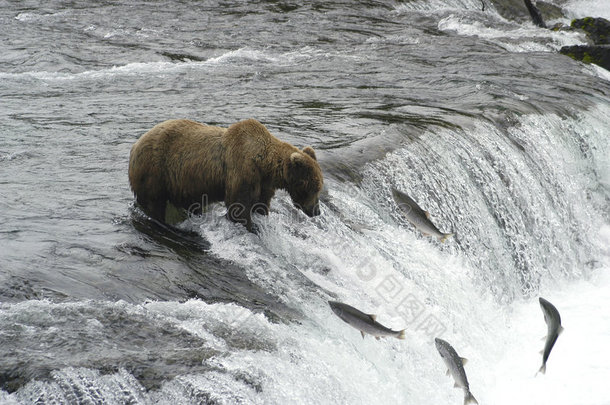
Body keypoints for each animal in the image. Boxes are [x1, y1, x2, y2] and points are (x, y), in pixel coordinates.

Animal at [126, 117, 320, 230]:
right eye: (315, 188)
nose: (316, 211)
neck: (264, 164)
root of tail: (135, 145)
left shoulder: (264, 182)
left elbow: (261, 203)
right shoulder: (242, 170)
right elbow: (238, 206)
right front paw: (249, 226)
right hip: (155, 171)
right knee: (154, 202)